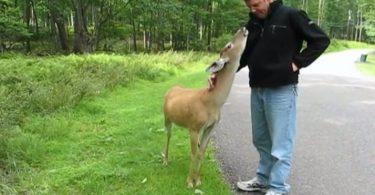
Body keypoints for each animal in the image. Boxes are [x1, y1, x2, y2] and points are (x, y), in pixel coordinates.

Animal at [162, 26, 248, 188]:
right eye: (228, 45)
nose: (243, 28)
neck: (212, 103)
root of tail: (171, 88)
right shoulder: (194, 126)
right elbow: (193, 153)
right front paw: (189, 182)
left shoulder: (211, 127)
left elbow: (201, 152)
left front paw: (198, 180)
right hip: (166, 116)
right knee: (167, 135)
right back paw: (165, 160)